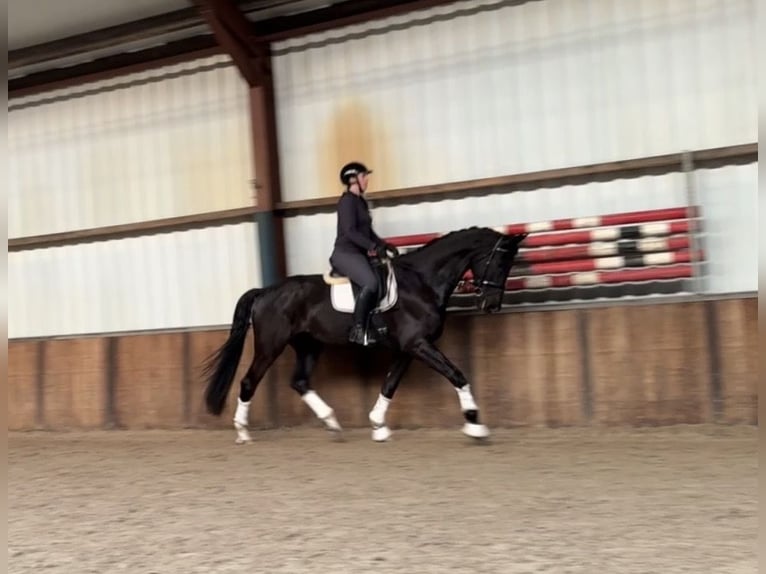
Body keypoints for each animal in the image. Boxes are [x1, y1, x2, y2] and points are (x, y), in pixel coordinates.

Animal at [202, 225, 528, 443]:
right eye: (501, 262)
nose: (491, 306)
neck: (422, 282)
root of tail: (265, 291)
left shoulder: (408, 348)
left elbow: (390, 384)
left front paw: (378, 426)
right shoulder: (418, 344)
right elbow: (457, 375)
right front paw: (475, 424)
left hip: (309, 345)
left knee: (300, 382)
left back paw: (332, 423)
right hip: (271, 345)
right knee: (249, 382)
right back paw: (243, 432)